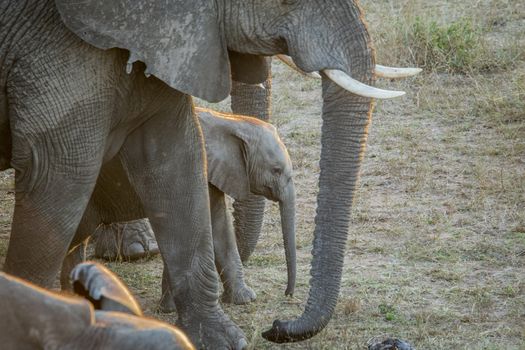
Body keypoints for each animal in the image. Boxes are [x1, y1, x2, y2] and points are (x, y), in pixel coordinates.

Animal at [93, 107, 294, 306]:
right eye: (276, 170)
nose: (288, 294)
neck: (230, 122)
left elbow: (219, 225)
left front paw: (243, 299)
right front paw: (170, 307)